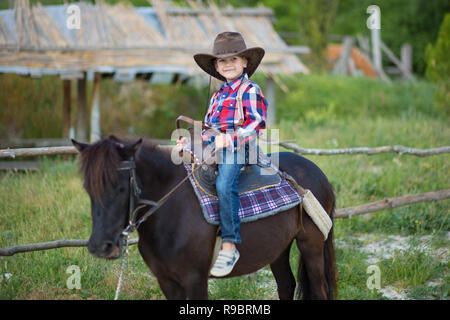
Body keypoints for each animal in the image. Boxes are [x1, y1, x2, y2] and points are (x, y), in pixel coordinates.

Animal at [72, 136, 336, 300]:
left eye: (120, 187)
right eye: (88, 188)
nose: (100, 246)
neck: (172, 211)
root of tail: (318, 172)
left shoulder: (195, 279)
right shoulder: (166, 281)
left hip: (312, 245)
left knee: (319, 290)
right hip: (278, 249)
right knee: (286, 285)